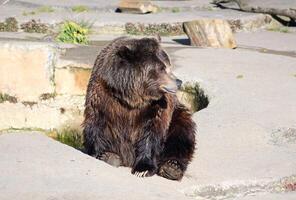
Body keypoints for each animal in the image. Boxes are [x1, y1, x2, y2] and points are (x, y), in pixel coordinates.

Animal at [82, 36, 195, 181]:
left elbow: (151, 132)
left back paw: (171, 167)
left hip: (177, 115)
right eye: (162, 68)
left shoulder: (156, 107)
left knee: (181, 134)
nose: (179, 82)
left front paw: (143, 169)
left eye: (169, 65)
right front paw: (105, 155)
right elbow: (96, 124)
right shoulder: (103, 95)